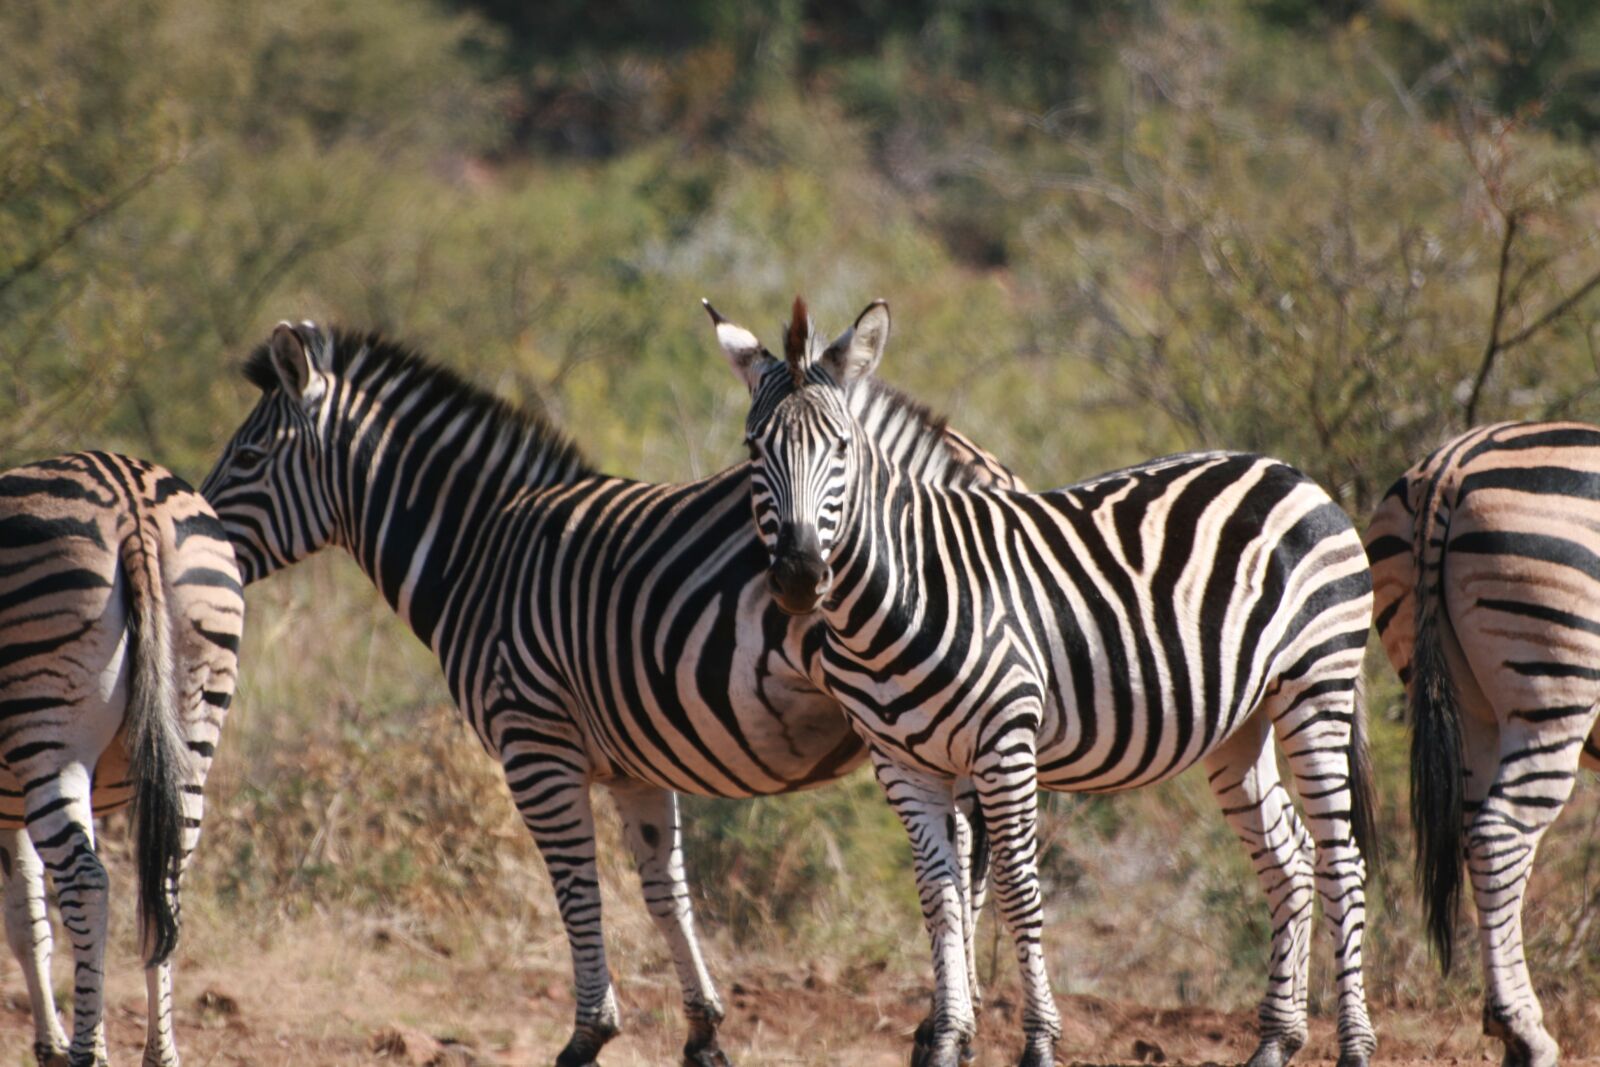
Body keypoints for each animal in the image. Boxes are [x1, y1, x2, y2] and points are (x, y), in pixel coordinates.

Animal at [0, 451, 243, 1067]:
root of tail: (130, 497)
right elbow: (29, 921)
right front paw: (51, 1043)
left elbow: (25, 920)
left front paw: (58, 1044)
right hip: (192, 735)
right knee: (163, 886)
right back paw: (159, 1054)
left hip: (48, 738)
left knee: (87, 883)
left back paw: (89, 1053)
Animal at [198, 318, 1021, 1067]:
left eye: (247, 457)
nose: (197, 538)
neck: (478, 553)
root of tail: (982, 470)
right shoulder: (636, 764)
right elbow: (665, 892)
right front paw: (704, 1033)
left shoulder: (535, 744)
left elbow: (576, 886)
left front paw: (588, 1036)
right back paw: (948, 1022)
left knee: (962, 854)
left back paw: (946, 1029)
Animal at [719, 296, 1379, 1067]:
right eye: (753, 450)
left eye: (843, 450)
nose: (798, 576)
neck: (898, 594)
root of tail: (1291, 473)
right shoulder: (902, 763)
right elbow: (939, 895)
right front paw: (947, 1038)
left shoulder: (1005, 742)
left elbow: (1016, 887)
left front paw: (1036, 1040)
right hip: (1241, 724)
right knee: (1291, 860)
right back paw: (1275, 1040)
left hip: (1317, 686)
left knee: (1341, 861)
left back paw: (1354, 1044)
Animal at [1366, 421, 1600, 1067]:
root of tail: (1451, 462)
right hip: (1552, 686)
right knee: (1499, 835)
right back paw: (1523, 1030)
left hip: (1466, 705)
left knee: (1479, 836)